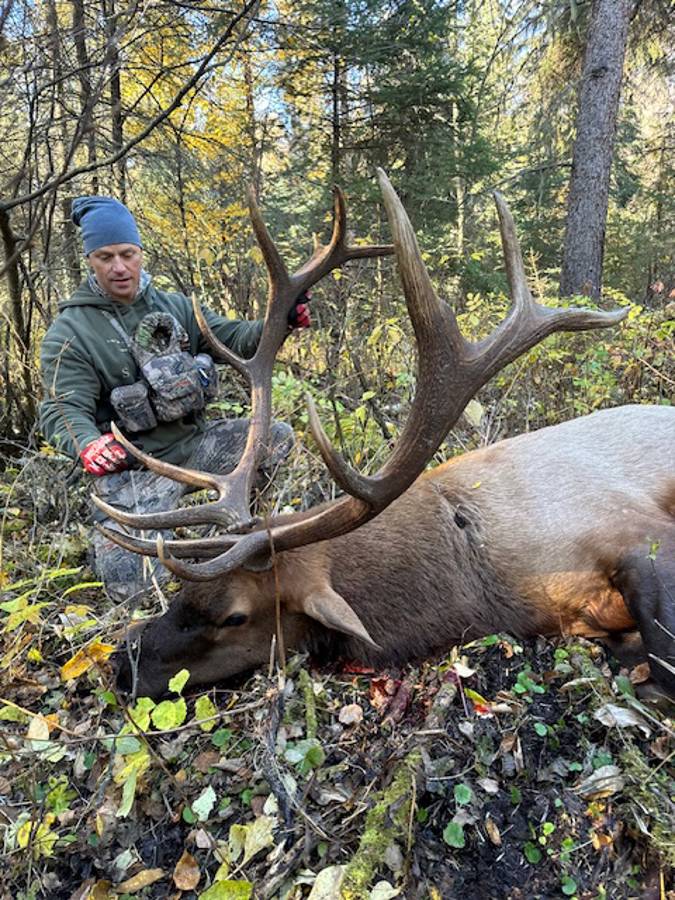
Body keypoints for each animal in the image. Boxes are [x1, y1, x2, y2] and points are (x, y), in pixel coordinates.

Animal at [94, 170, 675, 701]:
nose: (124, 663)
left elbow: (659, 671)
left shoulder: (633, 531)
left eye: (235, 617)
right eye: (178, 592)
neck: (479, 569)